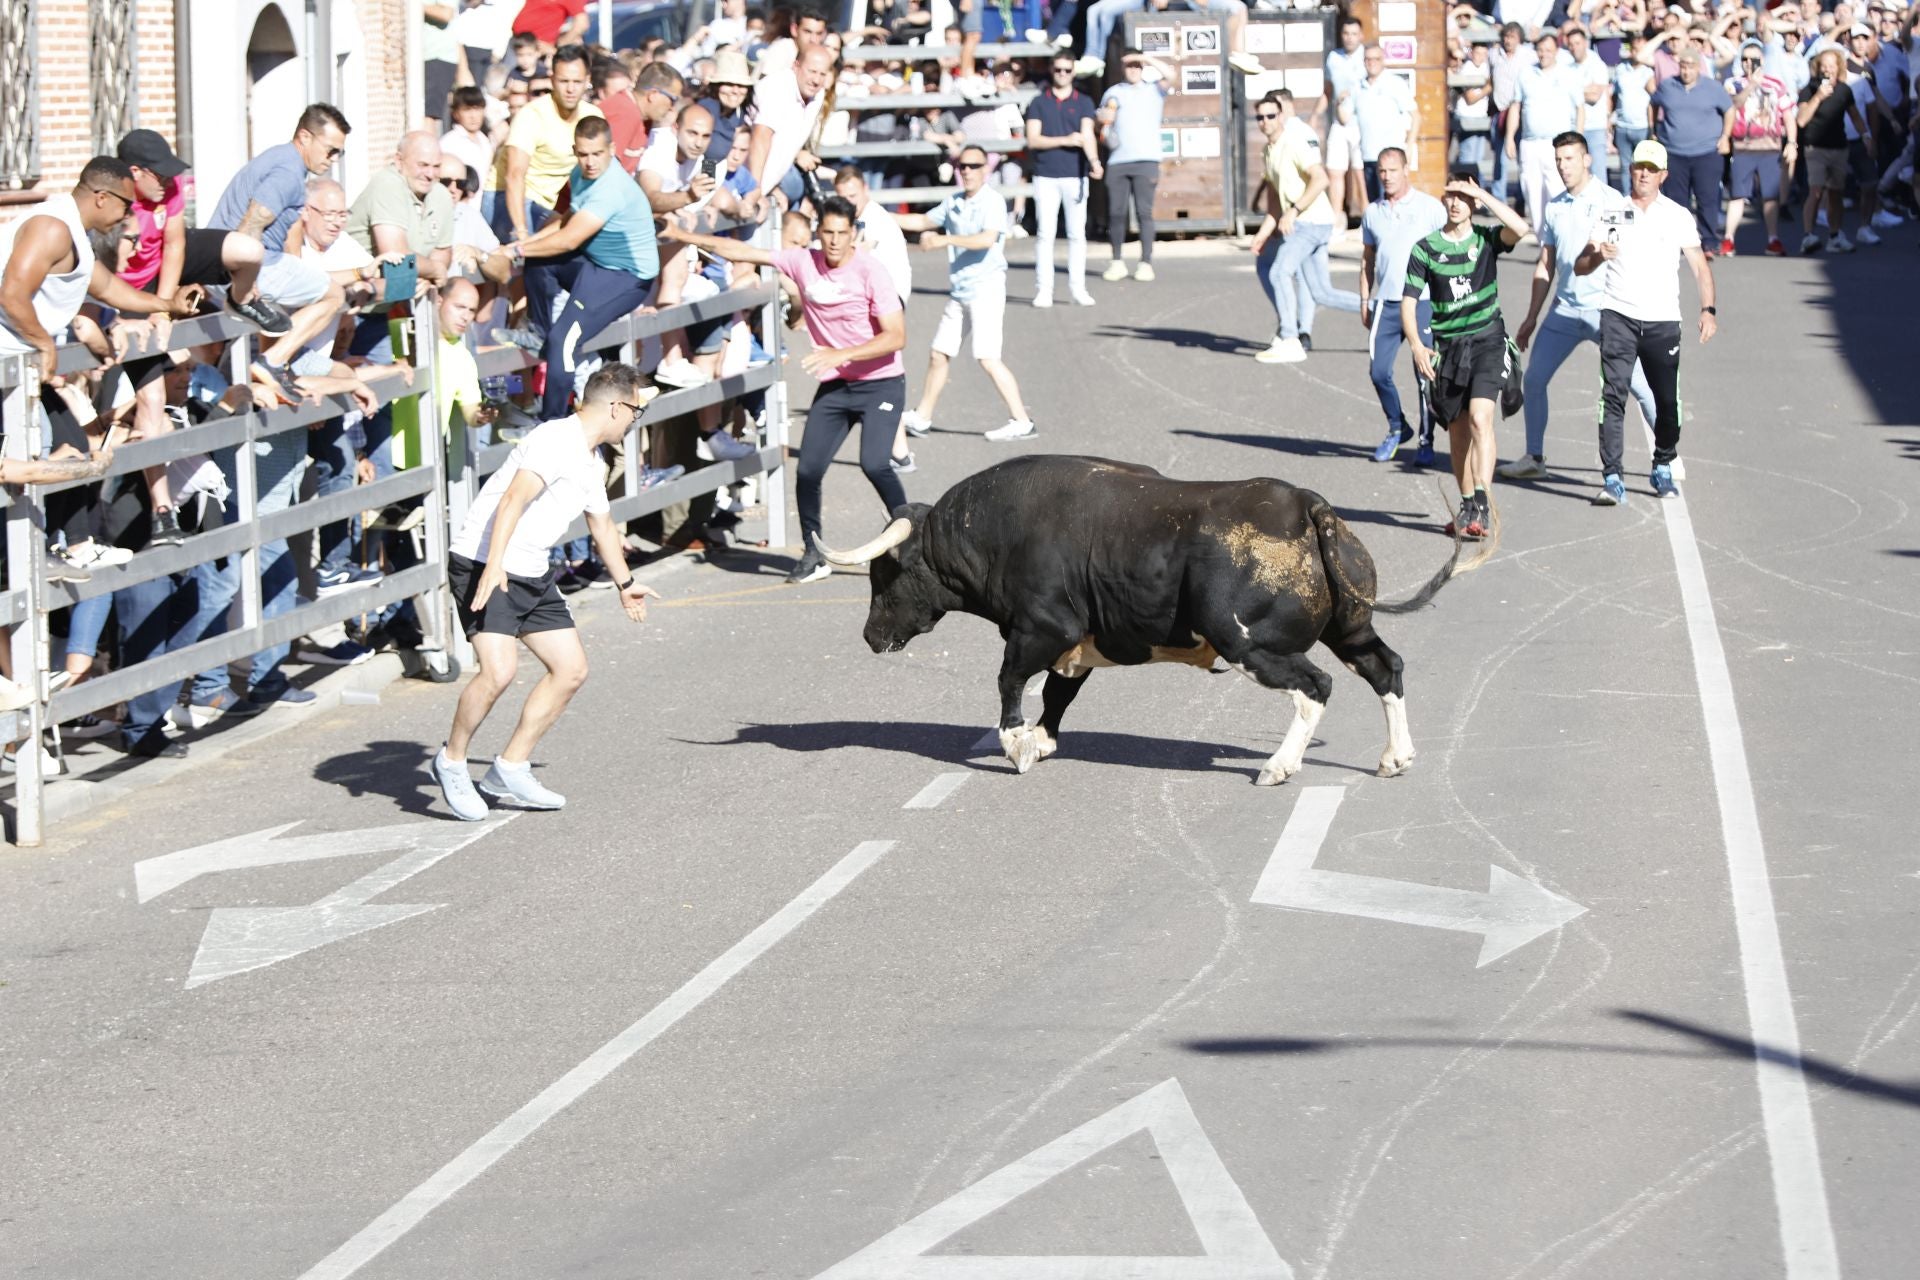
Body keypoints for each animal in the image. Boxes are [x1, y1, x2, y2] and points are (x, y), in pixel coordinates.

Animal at [810, 454, 1451, 786]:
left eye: (883, 574)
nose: (870, 635)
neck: (993, 530)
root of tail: (1306, 507)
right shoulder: (1081, 644)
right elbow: (1058, 695)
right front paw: (1043, 740)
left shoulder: (1042, 630)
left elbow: (1011, 684)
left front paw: (1018, 747)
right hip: (1349, 628)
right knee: (1385, 667)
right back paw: (1395, 757)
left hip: (1248, 644)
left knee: (1315, 685)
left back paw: (1278, 766)